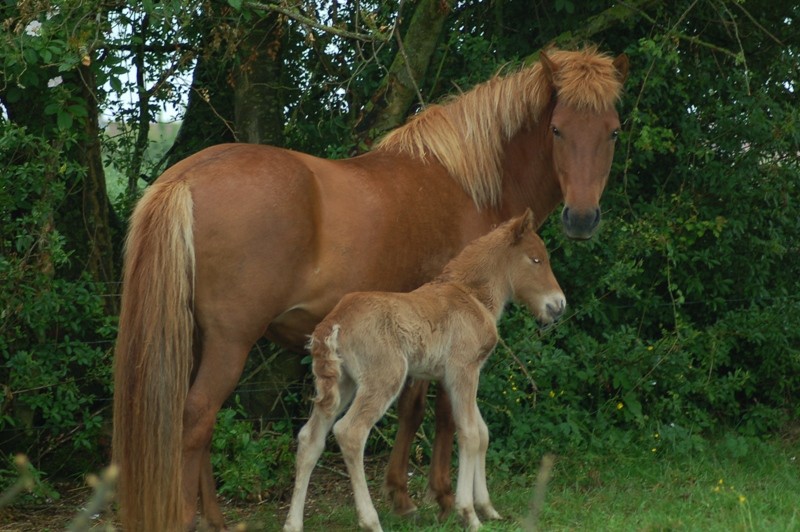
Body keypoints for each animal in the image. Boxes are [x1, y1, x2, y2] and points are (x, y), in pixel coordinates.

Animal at [284, 210, 564, 528]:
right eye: (536, 259)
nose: (559, 305)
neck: (472, 295)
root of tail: (334, 322)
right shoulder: (463, 370)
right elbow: (469, 433)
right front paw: (469, 514)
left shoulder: (463, 375)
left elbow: (482, 432)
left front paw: (488, 508)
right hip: (384, 378)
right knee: (350, 432)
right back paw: (371, 521)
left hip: (342, 383)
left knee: (310, 438)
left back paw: (293, 524)